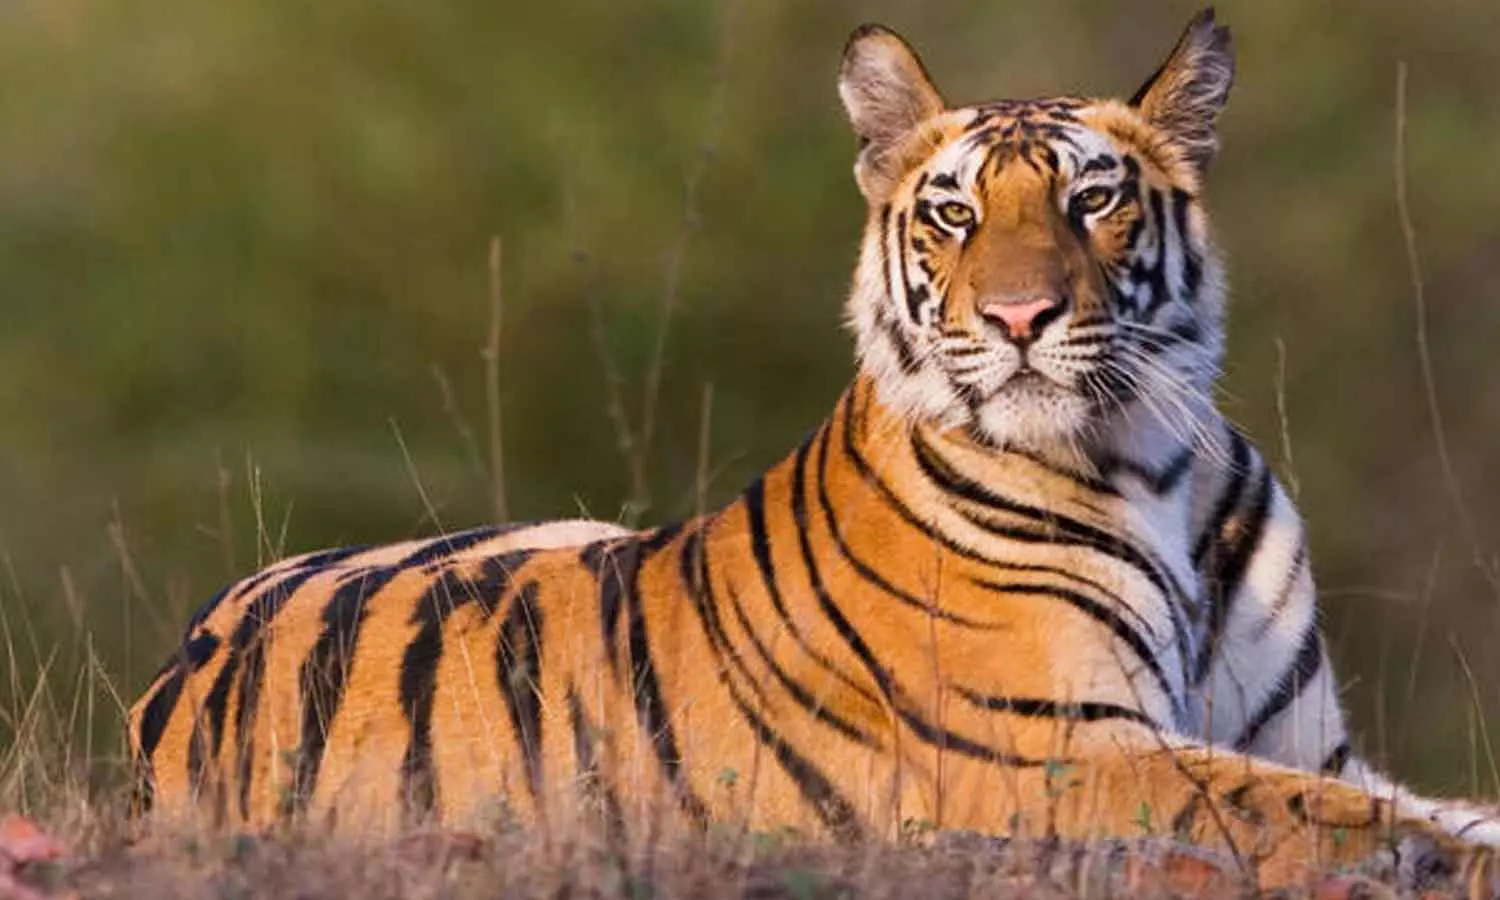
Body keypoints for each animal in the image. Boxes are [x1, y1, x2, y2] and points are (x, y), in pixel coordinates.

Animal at [129, 9, 1500, 891]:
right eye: (955, 212)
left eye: (1092, 199)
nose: (1018, 318)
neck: (1155, 459)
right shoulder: (1057, 747)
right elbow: (1325, 817)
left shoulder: (1301, 737)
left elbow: (1395, 797)